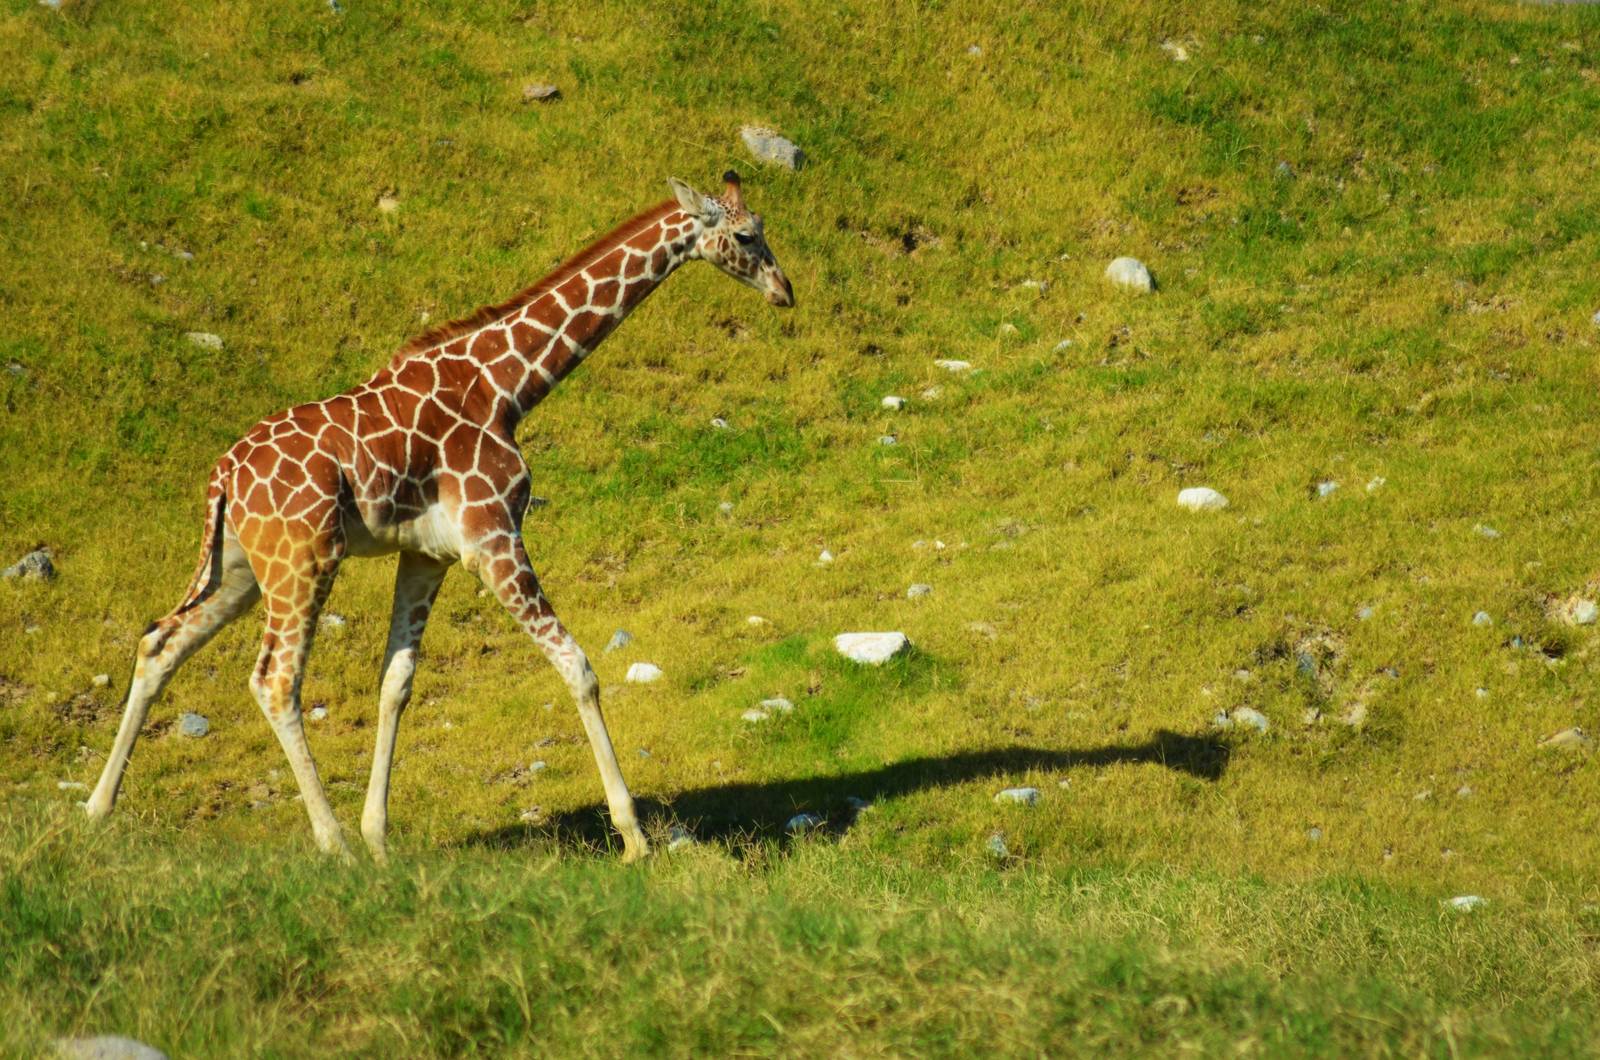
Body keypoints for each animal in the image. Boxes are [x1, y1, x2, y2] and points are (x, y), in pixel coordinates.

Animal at [84, 172, 794, 863]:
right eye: (747, 235)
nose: (785, 291)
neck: (506, 386)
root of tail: (223, 477)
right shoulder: (493, 535)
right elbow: (578, 666)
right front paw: (636, 839)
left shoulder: (426, 553)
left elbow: (395, 681)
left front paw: (379, 834)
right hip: (303, 557)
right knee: (275, 680)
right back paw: (331, 843)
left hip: (239, 566)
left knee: (161, 642)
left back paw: (97, 811)